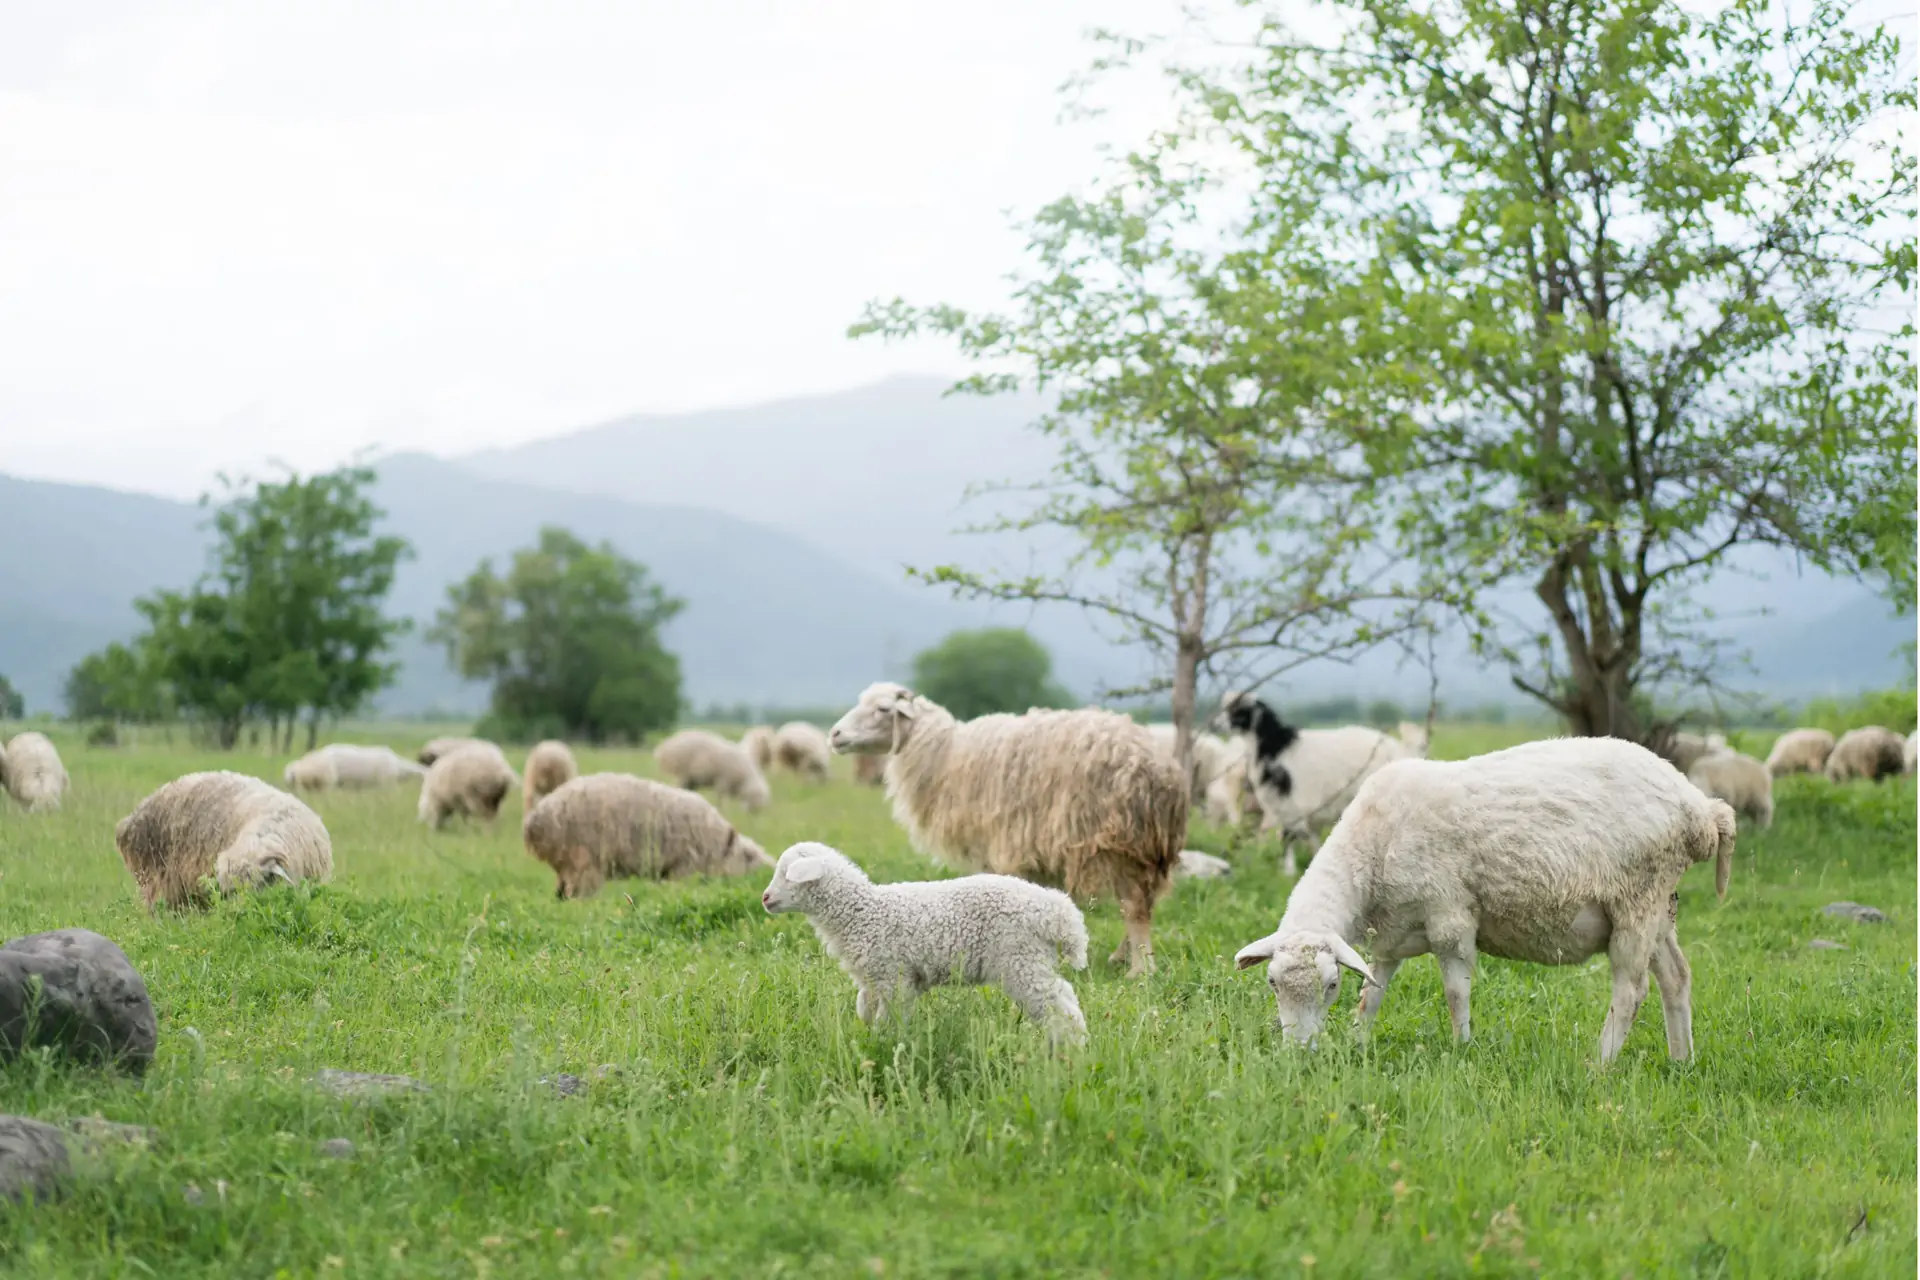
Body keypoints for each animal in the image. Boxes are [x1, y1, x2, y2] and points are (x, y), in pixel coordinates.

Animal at [523, 773, 770, 898]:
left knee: (560, 893)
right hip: (582, 861)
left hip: (566, 865)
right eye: (748, 856)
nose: (764, 876)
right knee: (575, 894)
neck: (716, 847)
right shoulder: (683, 868)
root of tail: (535, 821)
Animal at [760, 841, 1088, 1045]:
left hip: (1020, 960)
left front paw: (884, 1043)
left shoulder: (895, 976)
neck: (860, 912)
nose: (765, 898)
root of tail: (1056, 911)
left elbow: (889, 1017)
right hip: (1031, 960)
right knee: (1064, 995)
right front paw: (868, 1033)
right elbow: (864, 1006)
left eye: (787, 875)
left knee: (1058, 1004)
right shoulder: (875, 978)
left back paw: (1071, 1049)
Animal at [828, 681, 1186, 976]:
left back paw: (1141, 969)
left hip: (1121, 840)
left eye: (883, 709)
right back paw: (1121, 957)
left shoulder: (1007, 845)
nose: (834, 735)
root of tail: (1161, 771)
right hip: (1148, 848)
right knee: (1145, 900)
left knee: (1134, 906)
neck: (943, 754)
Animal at [1217, 692, 1415, 876]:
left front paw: (1288, 872)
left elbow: (1288, 837)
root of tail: (1398, 750)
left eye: (1238, 709)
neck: (1275, 747)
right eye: (1226, 706)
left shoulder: (1292, 805)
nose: (1216, 724)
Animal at [1233, 736, 1736, 1064]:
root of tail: (1700, 808)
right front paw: (1358, 1042)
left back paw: (1600, 1065)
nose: (1299, 1055)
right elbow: (1371, 996)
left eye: (1329, 985)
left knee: (1631, 989)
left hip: (1636, 900)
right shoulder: (1391, 935)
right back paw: (1681, 1062)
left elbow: (1455, 993)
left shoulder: (1449, 919)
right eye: (1272, 983)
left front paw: (1462, 1049)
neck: (1370, 849)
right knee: (1676, 977)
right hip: (1660, 908)